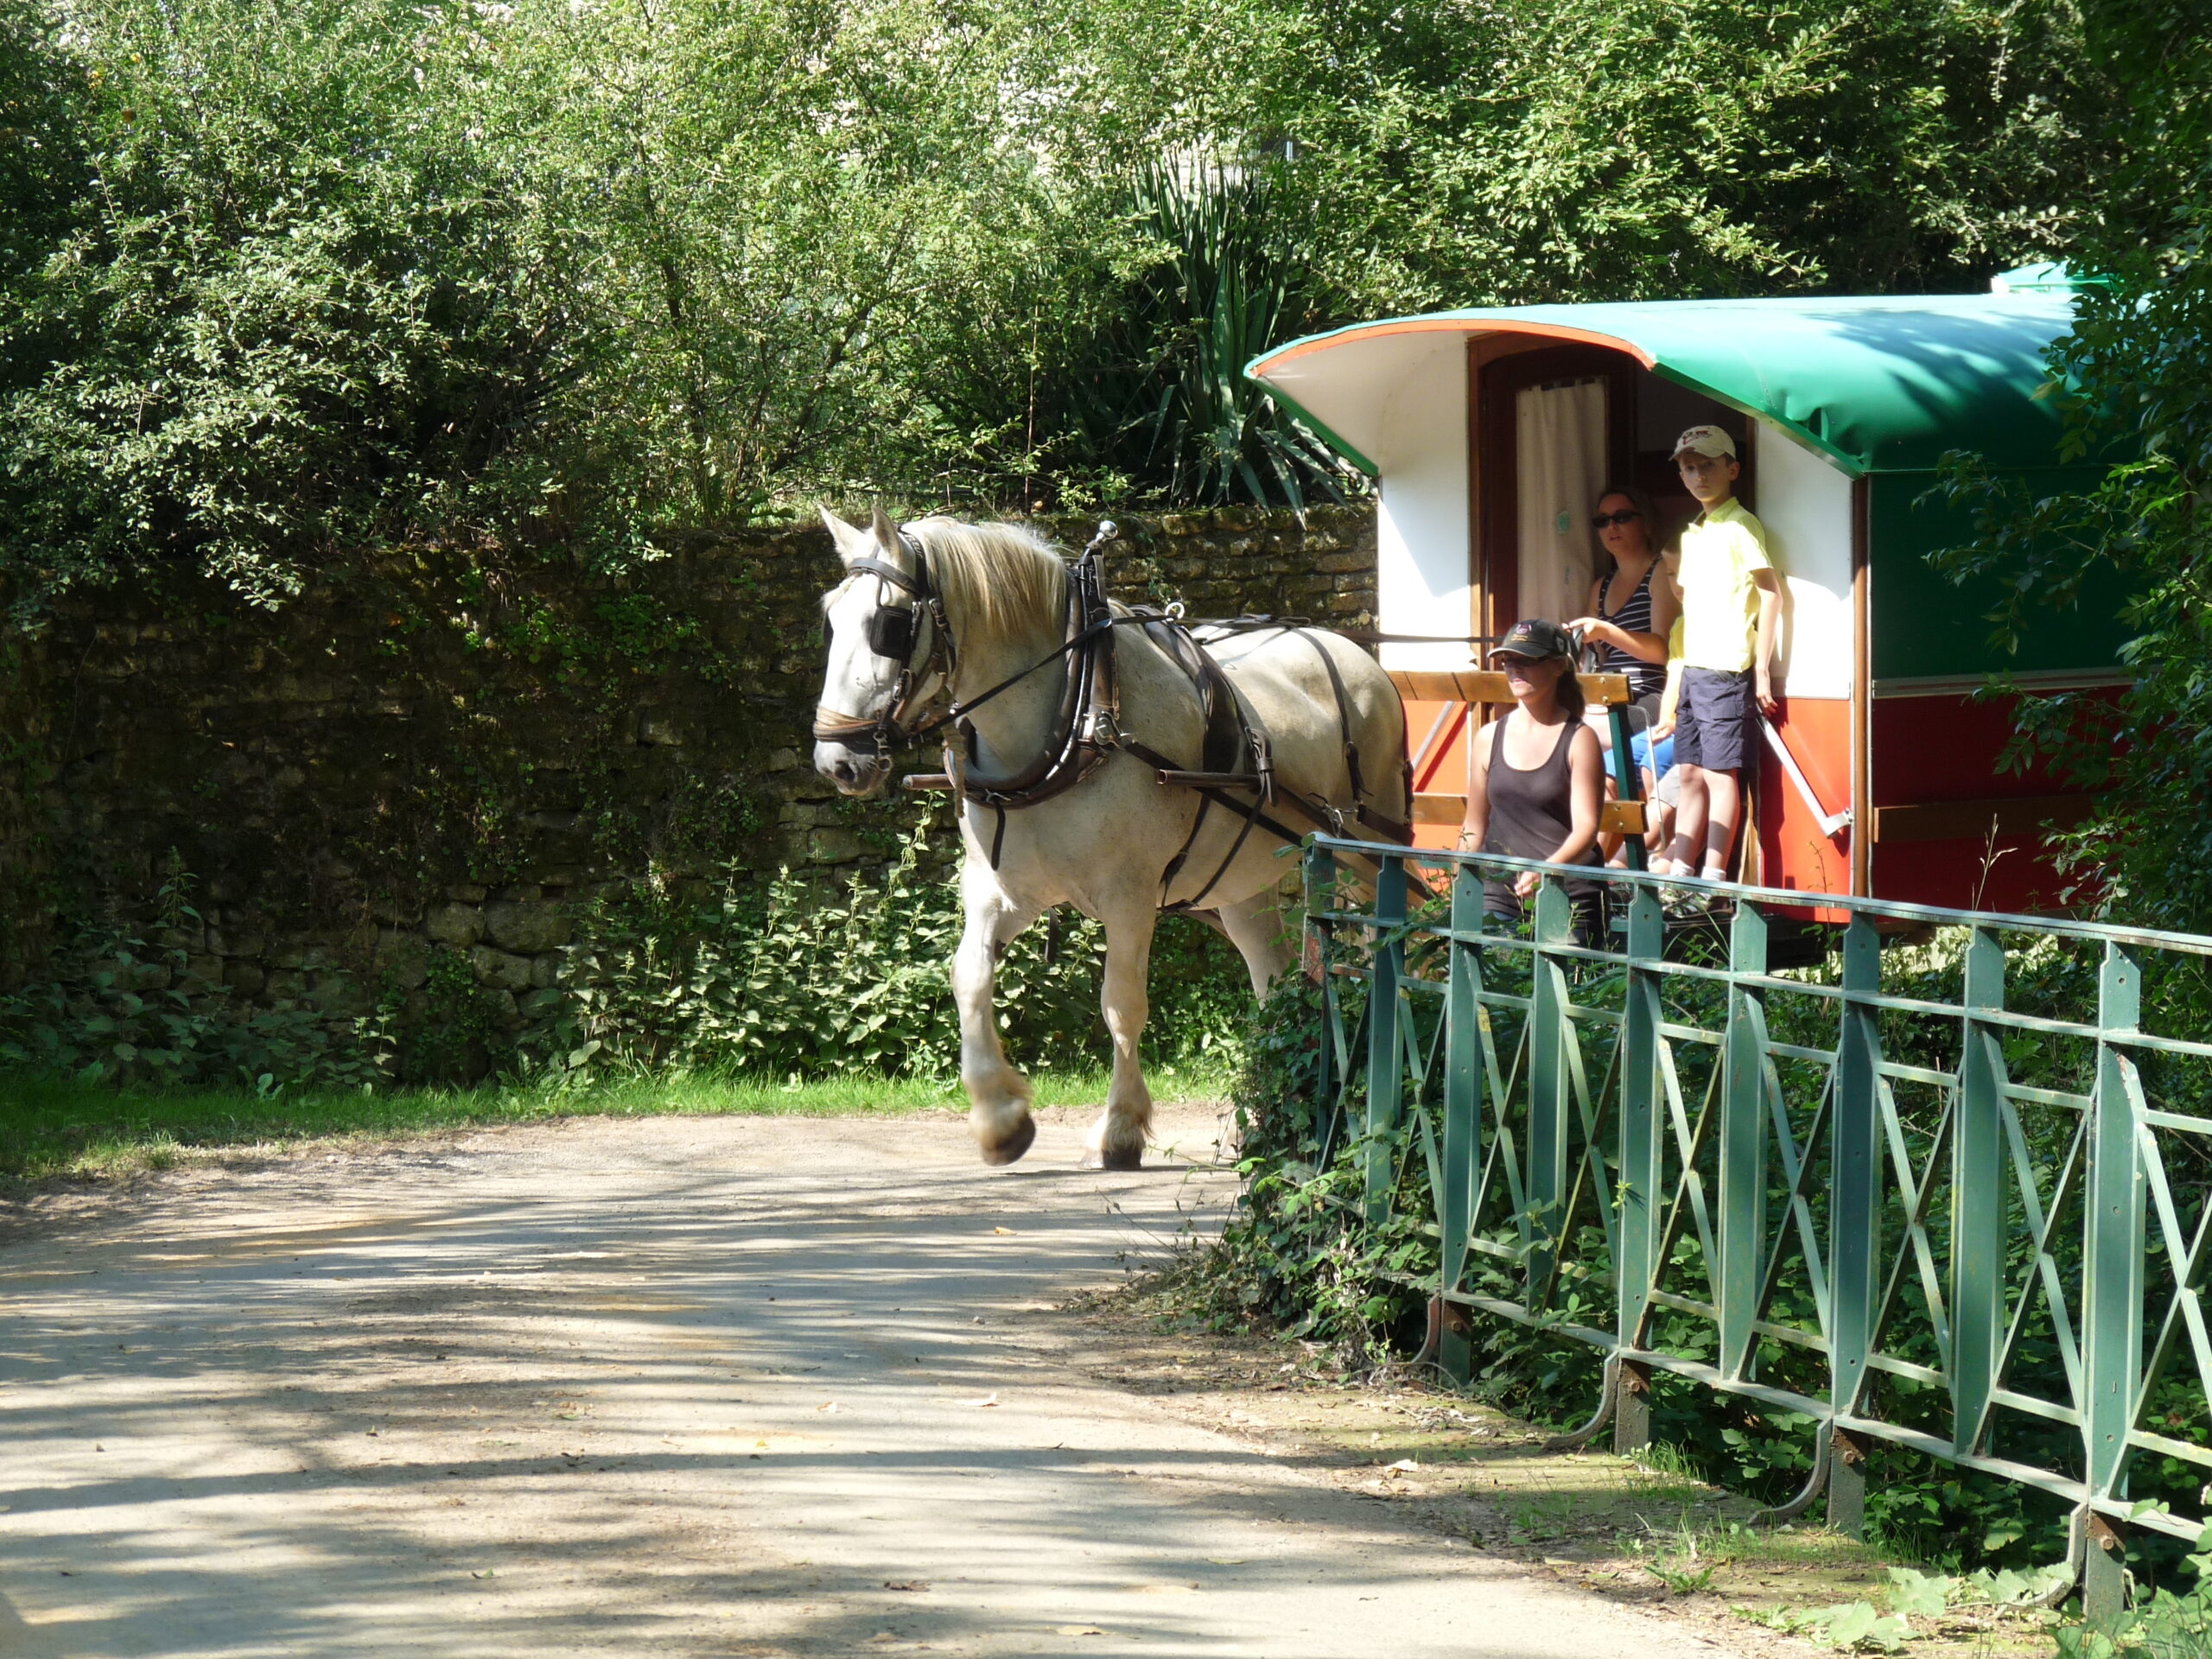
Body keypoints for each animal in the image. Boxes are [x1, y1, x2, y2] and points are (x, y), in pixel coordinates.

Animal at [818, 506, 1415, 1167]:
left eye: (889, 626)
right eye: (830, 616)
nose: (835, 760)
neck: (1078, 711)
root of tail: (1356, 654)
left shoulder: (1129, 897)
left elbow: (1121, 1006)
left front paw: (1121, 1126)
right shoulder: (1003, 891)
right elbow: (968, 978)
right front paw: (1001, 1118)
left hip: (1371, 851)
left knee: (1384, 944)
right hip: (1240, 886)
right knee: (1275, 980)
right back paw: (1264, 1116)